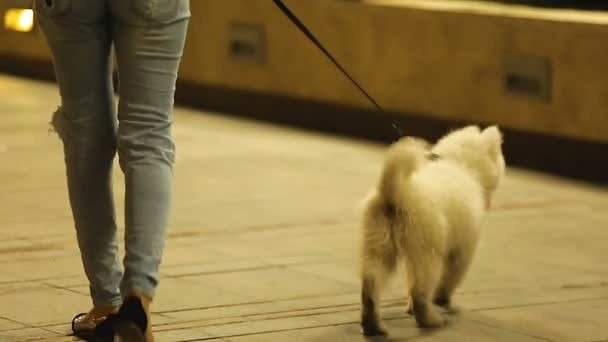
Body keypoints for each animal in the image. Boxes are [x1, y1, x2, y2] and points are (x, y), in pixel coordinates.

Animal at [358, 125, 506, 334]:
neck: (461, 165)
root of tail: (395, 191)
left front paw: (410, 307)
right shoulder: (462, 250)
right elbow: (450, 278)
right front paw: (442, 301)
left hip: (378, 245)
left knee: (371, 285)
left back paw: (373, 325)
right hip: (426, 251)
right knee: (420, 291)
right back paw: (430, 319)